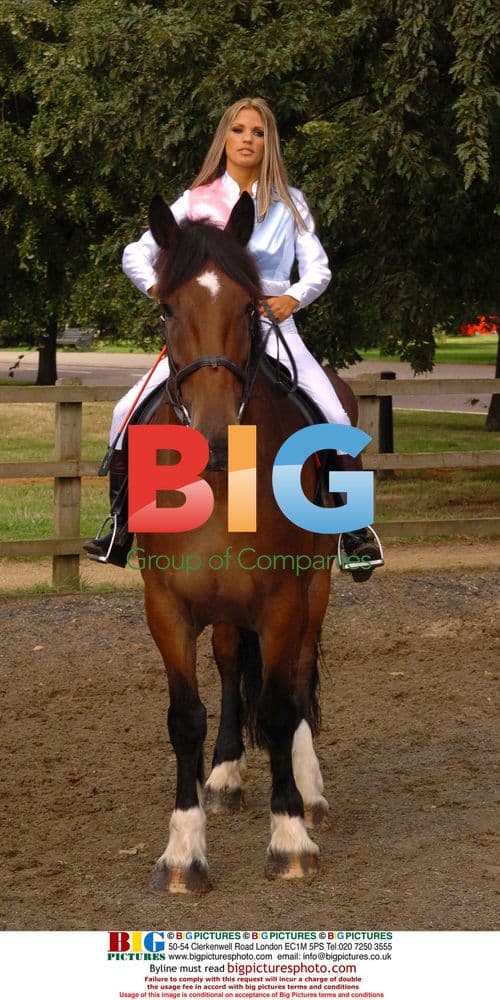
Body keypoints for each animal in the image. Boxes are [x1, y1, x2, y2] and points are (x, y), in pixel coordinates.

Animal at [134, 192, 358, 893]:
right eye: (166, 308)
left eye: (248, 307)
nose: (212, 439)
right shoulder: (167, 606)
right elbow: (186, 718)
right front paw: (183, 851)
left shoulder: (284, 597)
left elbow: (283, 706)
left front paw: (290, 835)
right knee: (235, 665)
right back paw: (227, 773)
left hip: (315, 587)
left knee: (298, 676)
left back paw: (307, 788)